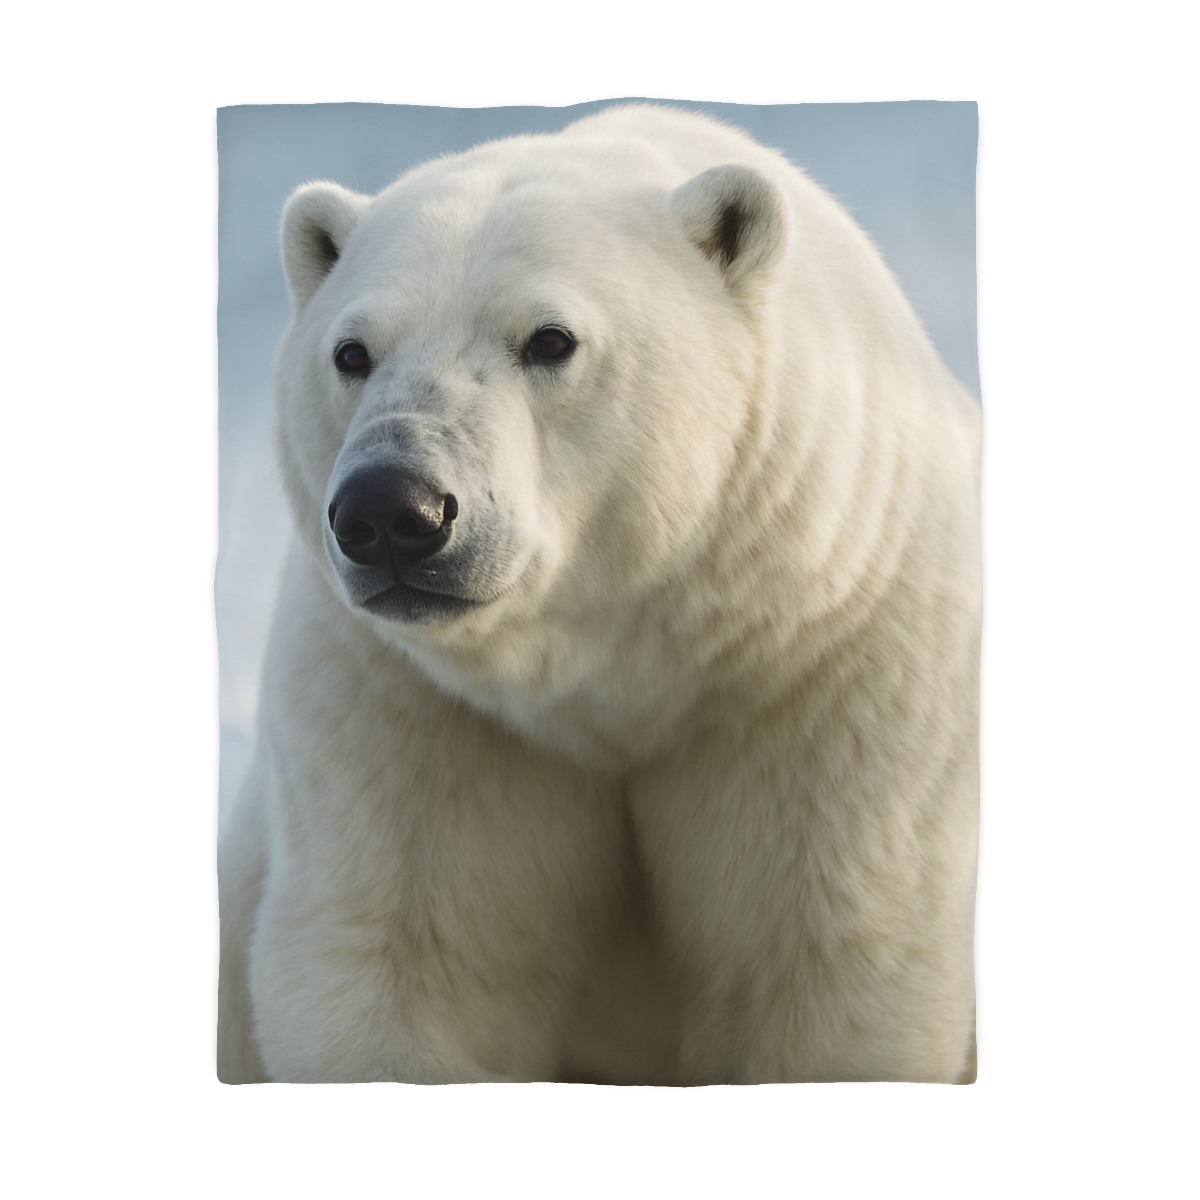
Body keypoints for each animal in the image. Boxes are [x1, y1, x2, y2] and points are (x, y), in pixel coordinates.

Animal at [218, 104, 982, 1085]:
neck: (615, 673)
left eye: (550, 338)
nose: (391, 511)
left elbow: (816, 964)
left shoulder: (829, 673)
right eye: (351, 352)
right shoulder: (409, 705)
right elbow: (420, 961)